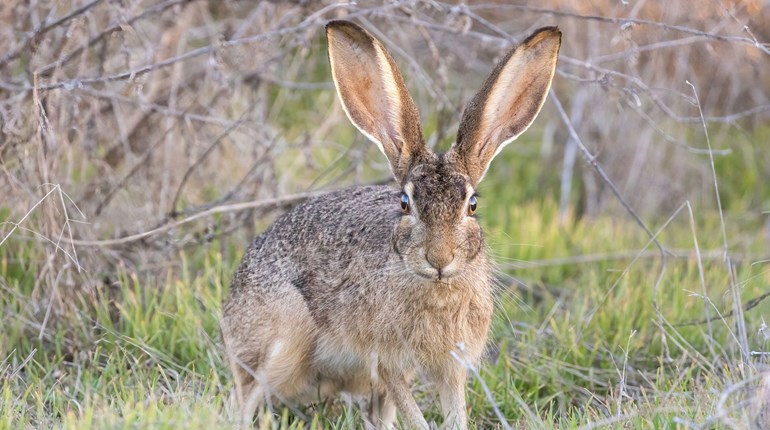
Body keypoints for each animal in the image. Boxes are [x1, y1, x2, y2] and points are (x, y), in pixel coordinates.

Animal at [221, 20, 561, 429]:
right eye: (404, 202)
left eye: (472, 205)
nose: (439, 259)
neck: (437, 289)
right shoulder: (388, 361)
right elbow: (414, 413)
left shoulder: (451, 366)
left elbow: (453, 411)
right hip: (279, 343)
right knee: (245, 397)